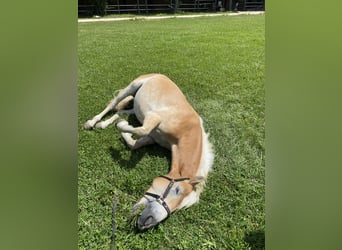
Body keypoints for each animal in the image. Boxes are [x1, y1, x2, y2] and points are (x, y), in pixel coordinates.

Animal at [83, 73, 214, 229]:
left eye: (179, 207)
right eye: (177, 190)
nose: (148, 222)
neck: (185, 130)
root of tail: (160, 75)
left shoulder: (152, 137)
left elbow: (134, 143)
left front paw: (124, 130)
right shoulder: (153, 117)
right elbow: (141, 130)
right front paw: (123, 125)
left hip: (135, 107)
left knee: (120, 111)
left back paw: (104, 124)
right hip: (132, 87)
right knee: (112, 104)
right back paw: (92, 122)